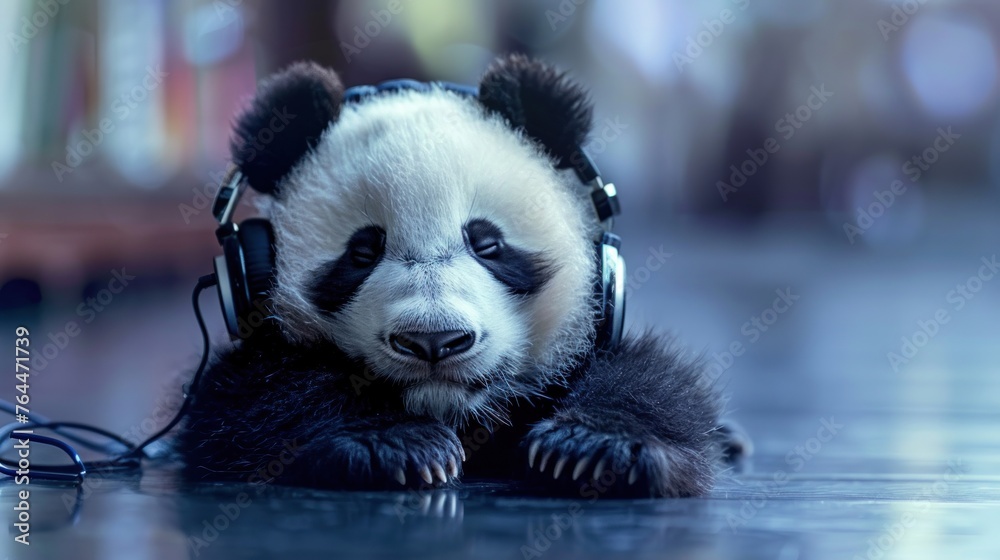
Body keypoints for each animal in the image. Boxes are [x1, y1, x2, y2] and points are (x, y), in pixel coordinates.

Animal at [175, 54, 748, 498]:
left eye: (487, 243)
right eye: (362, 251)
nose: (434, 340)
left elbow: (653, 381)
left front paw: (592, 448)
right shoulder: (246, 384)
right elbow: (248, 400)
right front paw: (396, 446)